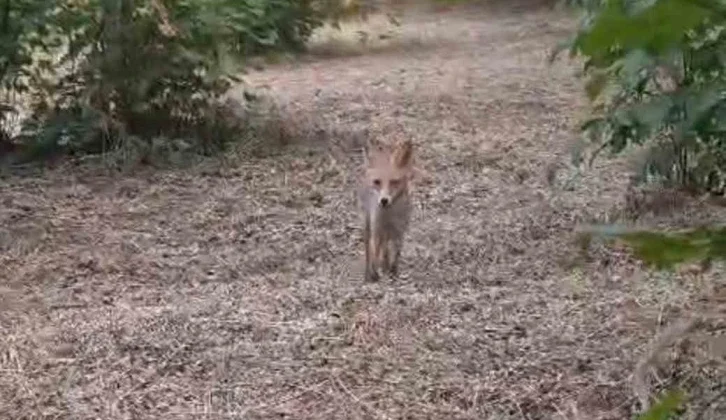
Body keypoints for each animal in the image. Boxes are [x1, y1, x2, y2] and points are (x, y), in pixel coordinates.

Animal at [358, 138, 416, 282]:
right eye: (377, 182)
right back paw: (369, 273)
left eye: (394, 182)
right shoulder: (377, 230)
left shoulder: (399, 231)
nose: (384, 200)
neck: (389, 216)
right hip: (367, 224)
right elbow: (375, 253)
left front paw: (393, 271)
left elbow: (396, 254)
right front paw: (374, 273)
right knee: (369, 249)